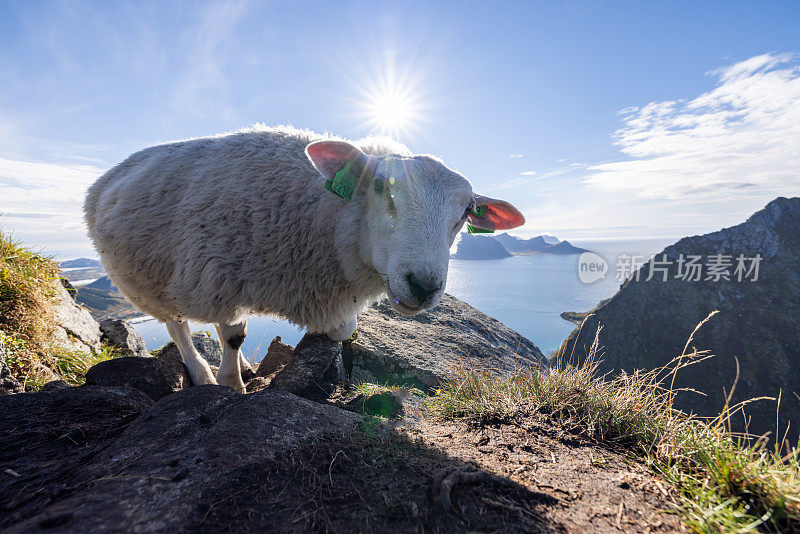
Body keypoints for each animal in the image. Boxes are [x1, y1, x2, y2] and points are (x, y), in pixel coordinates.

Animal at [84, 125, 528, 394]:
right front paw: (230, 385)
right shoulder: (218, 275)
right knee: (176, 326)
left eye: (467, 212)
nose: (423, 286)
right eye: (380, 186)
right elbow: (232, 336)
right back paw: (202, 373)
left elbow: (342, 329)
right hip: (143, 281)